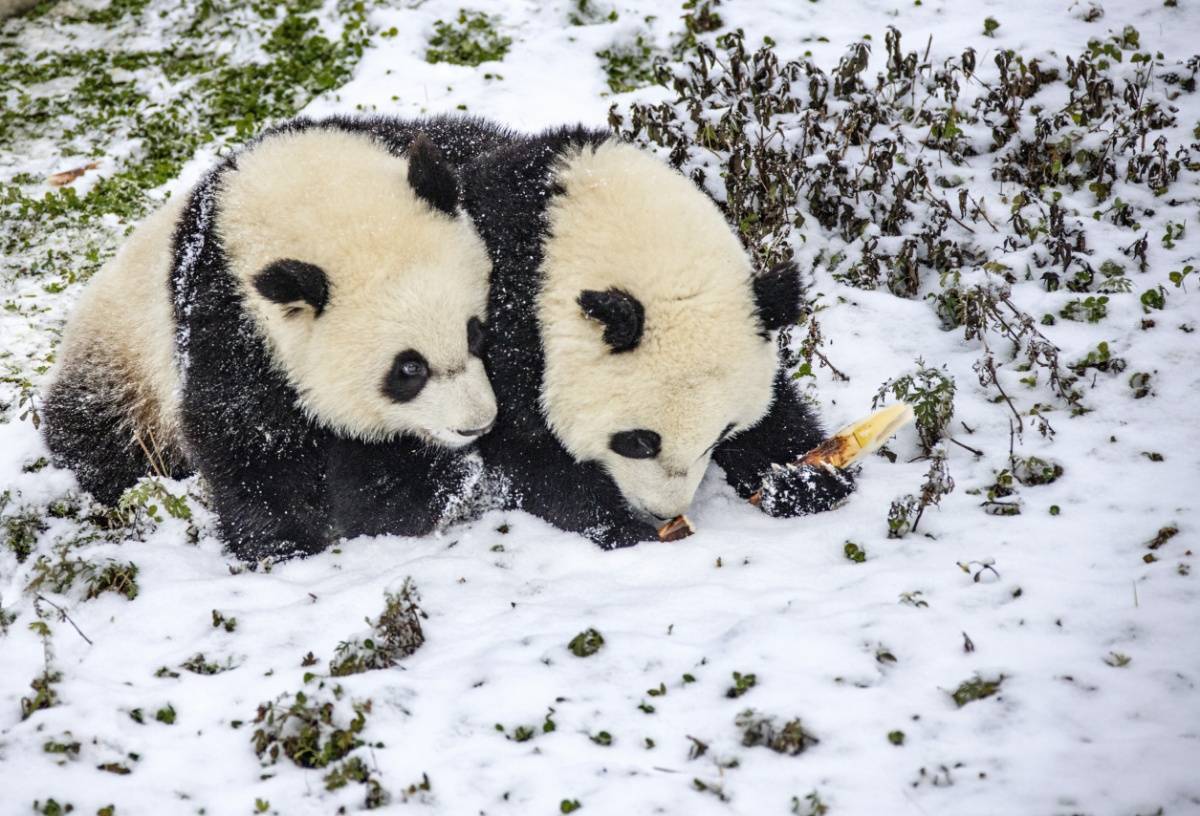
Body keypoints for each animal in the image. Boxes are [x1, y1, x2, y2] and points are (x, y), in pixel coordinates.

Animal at [43, 116, 501, 561]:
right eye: (408, 369)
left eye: (475, 333)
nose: (476, 425)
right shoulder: (229, 324)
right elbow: (250, 442)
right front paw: (283, 544)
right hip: (123, 364)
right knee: (99, 436)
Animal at [451, 127, 854, 547]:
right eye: (640, 441)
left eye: (720, 435)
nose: (663, 510)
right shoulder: (504, 328)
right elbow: (528, 450)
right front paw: (623, 527)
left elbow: (777, 414)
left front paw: (805, 481)